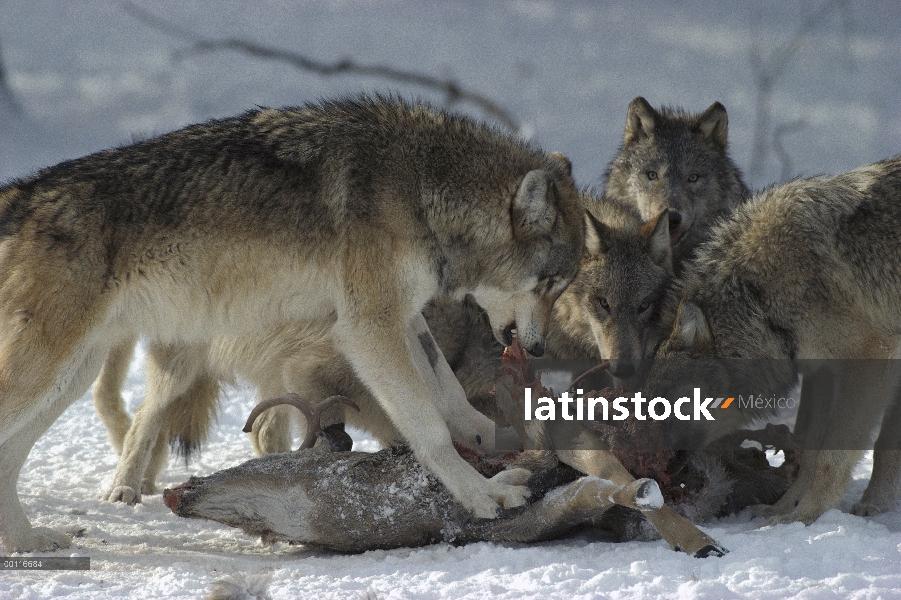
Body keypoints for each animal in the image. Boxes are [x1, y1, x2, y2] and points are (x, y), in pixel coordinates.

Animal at [0, 95, 584, 552]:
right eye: (551, 283)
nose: (537, 352)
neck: (424, 190)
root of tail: (22, 194)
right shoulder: (368, 328)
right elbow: (430, 428)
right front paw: (483, 495)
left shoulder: (400, 319)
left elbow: (450, 394)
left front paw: (491, 437)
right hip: (55, 371)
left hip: (71, 376)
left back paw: (28, 541)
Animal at [644, 156, 900, 524]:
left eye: (667, 404)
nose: (649, 465)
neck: (757, 294)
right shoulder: (823, 370)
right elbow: (811, 452)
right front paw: (783, 509)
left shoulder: (869, 359)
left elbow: (831, 455)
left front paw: (806, 516)